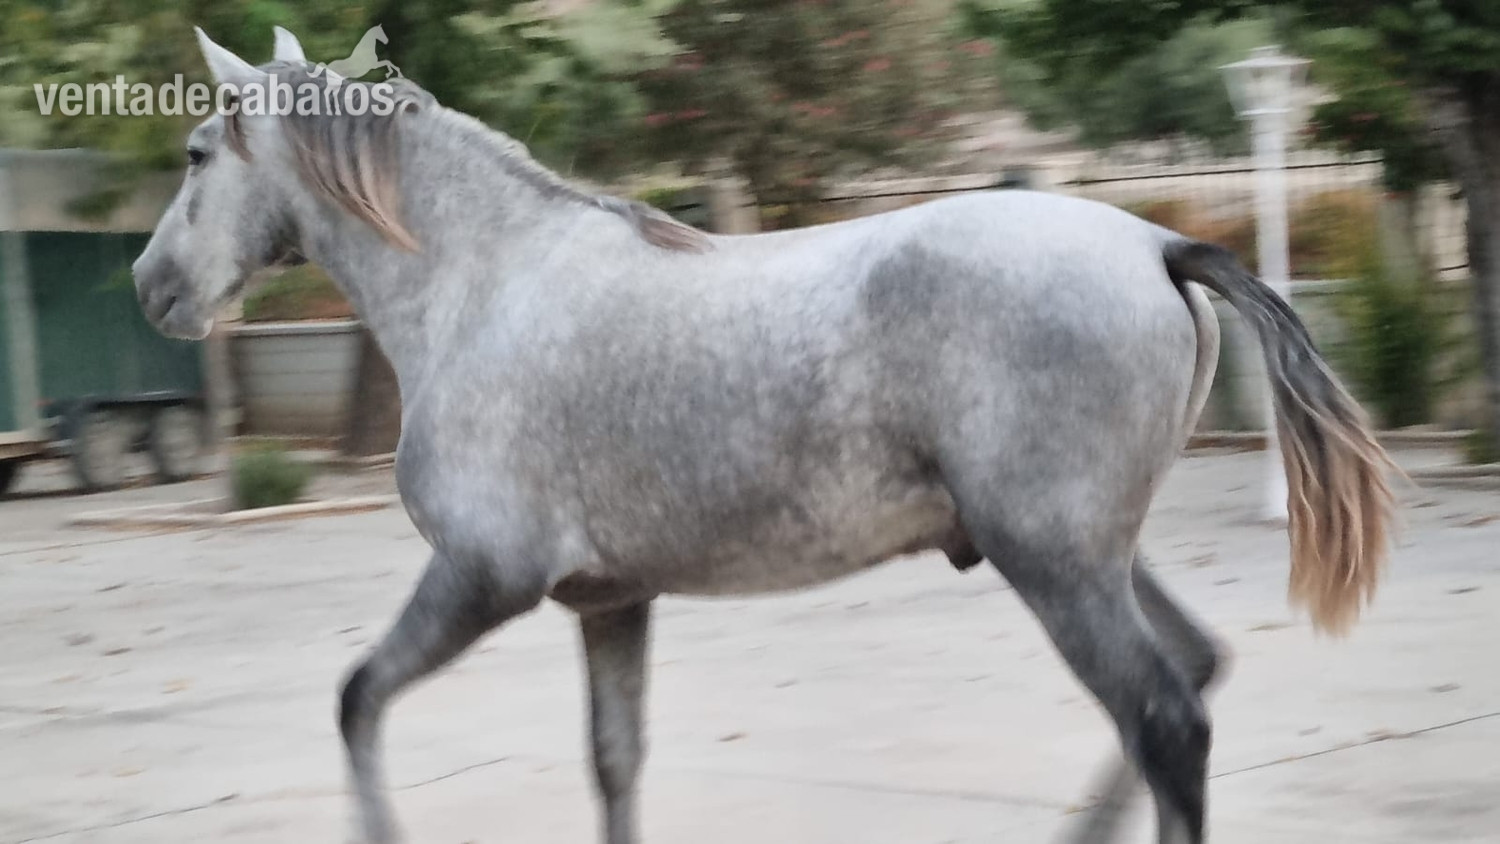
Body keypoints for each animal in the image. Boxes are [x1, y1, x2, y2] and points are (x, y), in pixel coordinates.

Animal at [132, 27, 1396, 844]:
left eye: (194, 156)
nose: (151, 286)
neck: (483, 284)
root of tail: (1155, 243)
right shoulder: (610, 601)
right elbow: (615, 764)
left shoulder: (482, 576)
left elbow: (357, 698)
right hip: (1089, 555)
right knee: (1189, 677)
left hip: (1058, 565)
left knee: (1165, 719)